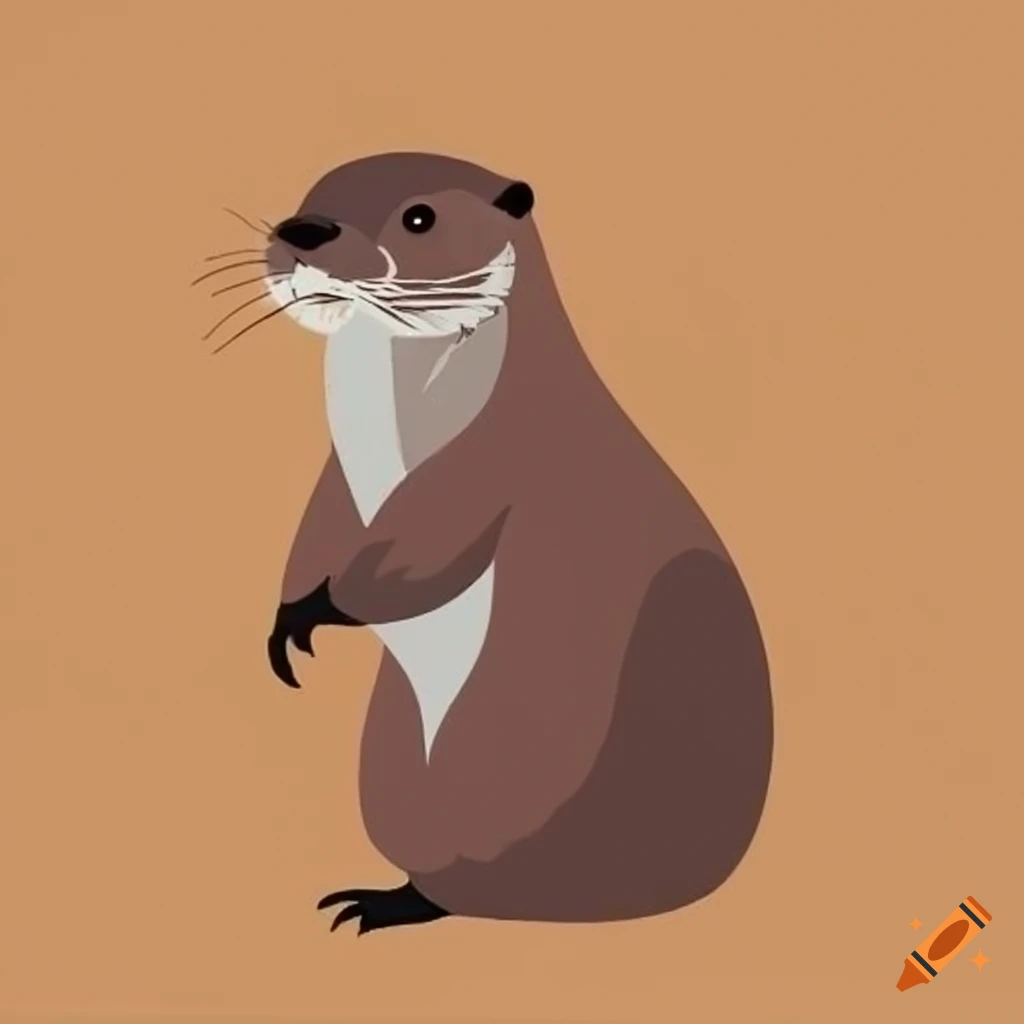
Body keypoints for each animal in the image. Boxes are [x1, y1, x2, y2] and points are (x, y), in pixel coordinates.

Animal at [256, 152, 773, 935]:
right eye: (310, 192)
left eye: (419, 216)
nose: (303, 231)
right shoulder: (338, 479)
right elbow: (320, 527)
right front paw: (287, 617)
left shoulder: (500, 454)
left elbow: (424, 543)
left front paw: (323, 609)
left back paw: (391, 905)